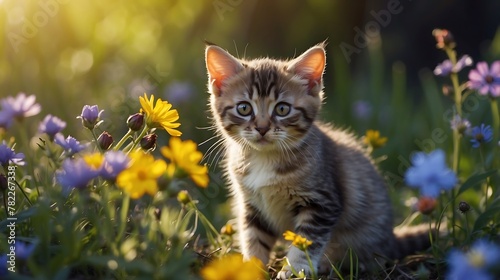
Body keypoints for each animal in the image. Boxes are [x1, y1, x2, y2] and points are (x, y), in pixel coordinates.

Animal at [205, 43, 432, 278]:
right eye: (244, 108)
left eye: (282, 109)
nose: (262, 128)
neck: (264, 158)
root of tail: (390, 237)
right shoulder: (252, 205)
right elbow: (254, 238)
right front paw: (251, 268)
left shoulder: (322, 203)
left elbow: (306, 241)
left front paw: (293, 269)